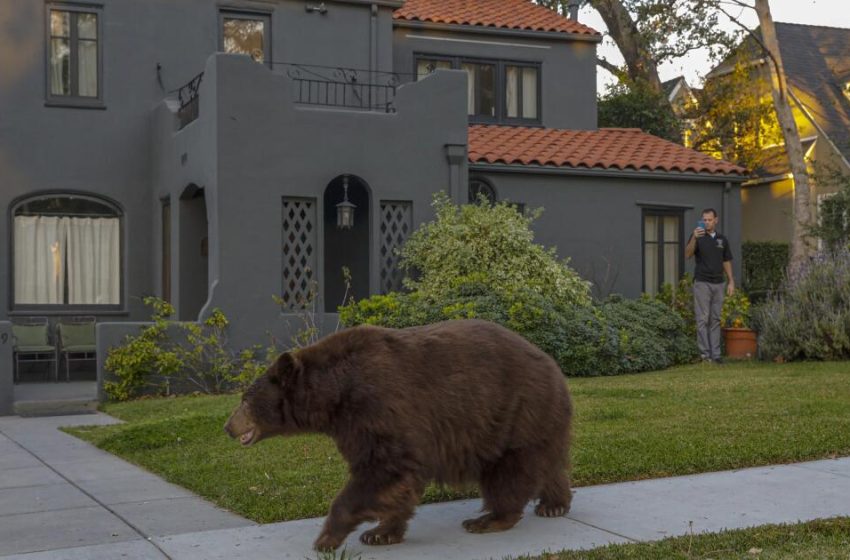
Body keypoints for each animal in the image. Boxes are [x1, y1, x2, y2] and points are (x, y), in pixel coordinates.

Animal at [224, 319, 573, 551]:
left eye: (245, 399)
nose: (228, 427)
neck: (335, 394)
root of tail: (552, 364)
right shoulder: (354, 427)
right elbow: (396, 483)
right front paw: (380, 532)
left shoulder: (377, 407)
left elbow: (382, 470)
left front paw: (326, 538)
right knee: (547, 461)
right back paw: (554, 504)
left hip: (514, 411)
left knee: (510, 471)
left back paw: (488, 519)